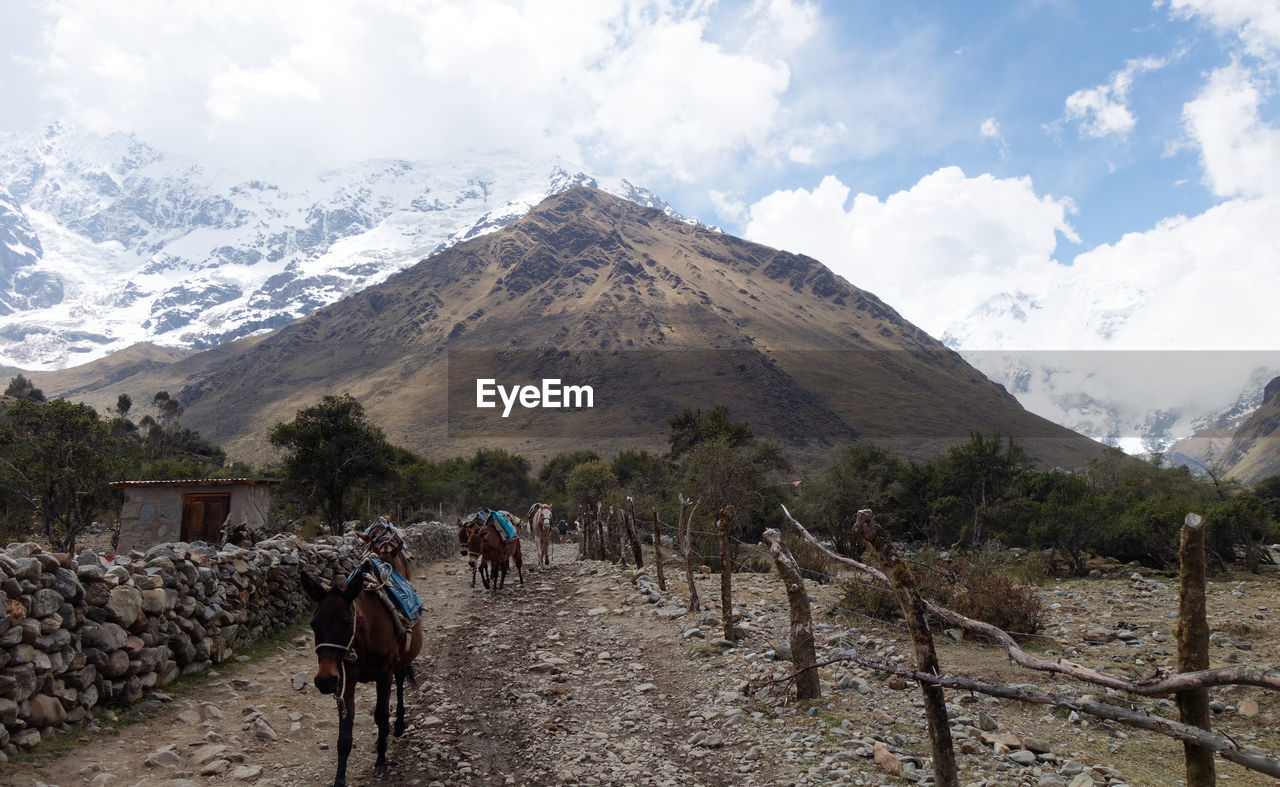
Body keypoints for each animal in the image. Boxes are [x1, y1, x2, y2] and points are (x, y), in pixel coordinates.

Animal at [302, 570, 422, 783]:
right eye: (313, 624)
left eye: (347, 623)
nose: (325, 681)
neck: (364, 639)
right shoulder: (346, 681)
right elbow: (345, 733)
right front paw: (339, 779)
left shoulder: (384, 676)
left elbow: (381, 716)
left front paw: (381, 760)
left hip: (400, 664)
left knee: (400, 685)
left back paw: (399, 725)